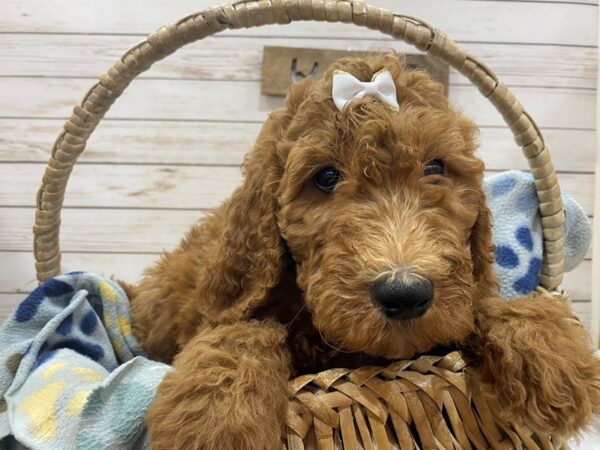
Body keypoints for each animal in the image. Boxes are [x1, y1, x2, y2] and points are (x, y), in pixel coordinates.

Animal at [126, 54, 600, 448]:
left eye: (435, 168)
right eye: (325, 177)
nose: (405, 293)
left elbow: (478, 303)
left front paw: (551, 355)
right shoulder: (232, 308)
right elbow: (243, 330)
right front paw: (214, 420)